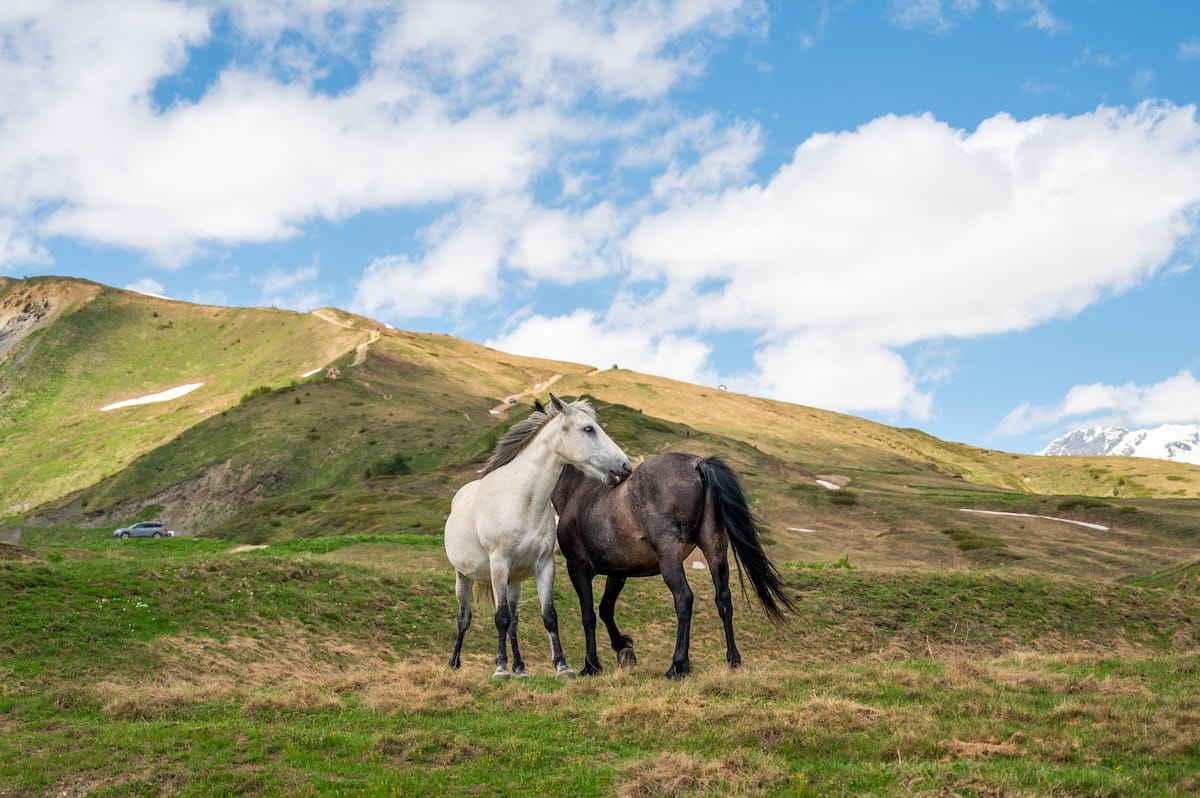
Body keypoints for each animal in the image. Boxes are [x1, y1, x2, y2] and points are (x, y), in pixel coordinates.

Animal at [445, 394, 632, 678]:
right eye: (588, 429)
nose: (626, 466)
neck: (522, 501)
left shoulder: (544, 565)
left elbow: (548, 616)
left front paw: (562, 667)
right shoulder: (499, 563)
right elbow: (500, 617)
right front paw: (500, 669)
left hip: (515, 581)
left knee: (514, 621)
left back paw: (520, 668)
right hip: (464, 576)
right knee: (464, 618)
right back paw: (455, 662)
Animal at [552, 452, 795, 679]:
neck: (577, 489)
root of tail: (698, 464)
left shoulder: (578, 568)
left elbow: (588, 616)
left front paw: (591, 665)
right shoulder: (618, 573)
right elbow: (605, 609)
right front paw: (623, 649)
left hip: (669, 558)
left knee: (684, 598)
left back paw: (677, 665)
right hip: (714, 548)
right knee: (723, 598)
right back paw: (733, 660)